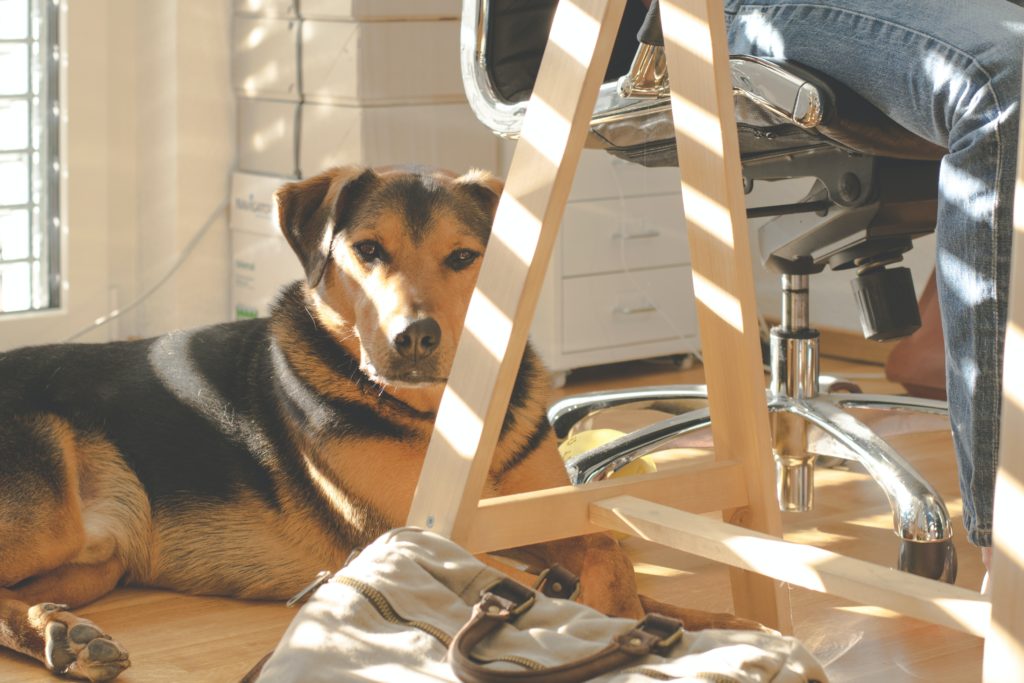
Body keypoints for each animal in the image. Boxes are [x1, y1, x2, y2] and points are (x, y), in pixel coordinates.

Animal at [0, 166, 753, 683]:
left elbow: (610, 550)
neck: (444, 413)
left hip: (97, 559)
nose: (413, 337)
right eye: (367, 250)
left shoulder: (542, 513)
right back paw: (64, 639)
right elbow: (593, 569)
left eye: (463, 256)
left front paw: (708, 622)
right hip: (50, 519)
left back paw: (64, 636)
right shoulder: (412, 537)